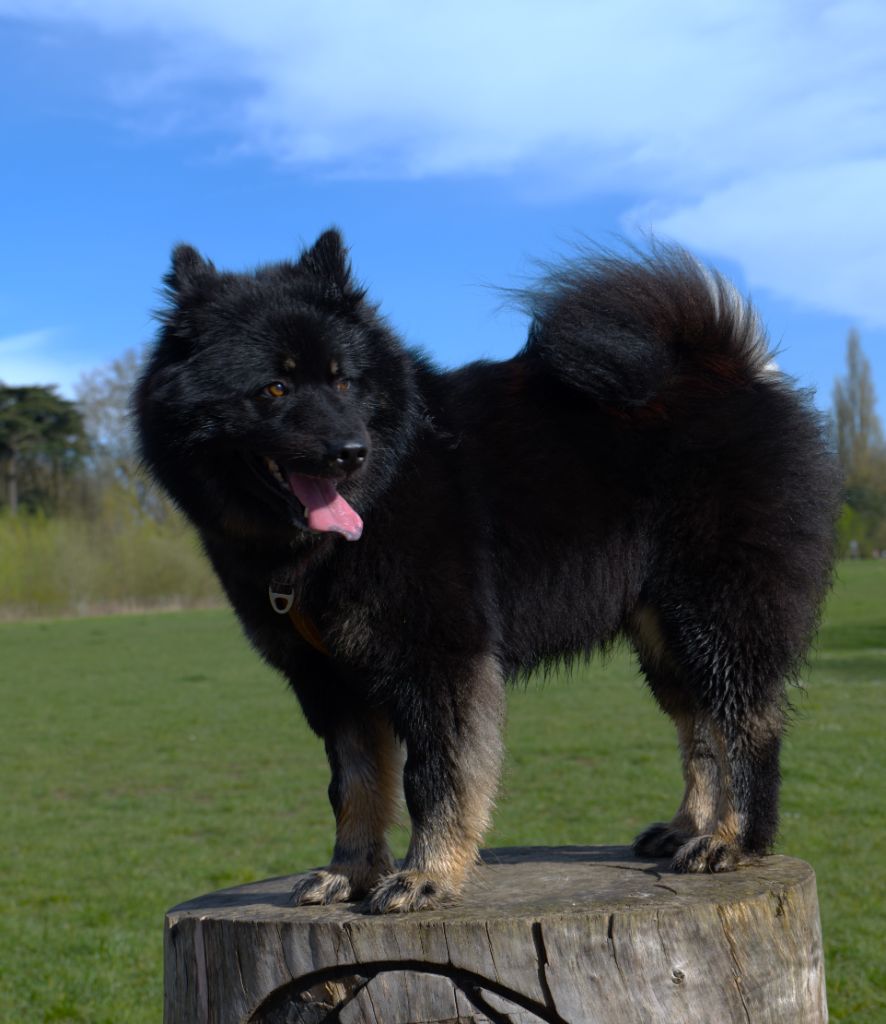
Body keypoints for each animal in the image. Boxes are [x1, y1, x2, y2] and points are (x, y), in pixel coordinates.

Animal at [135, 230, 839, 913]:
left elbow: (435, 778)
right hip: (664, 634)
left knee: (747, 728)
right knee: (700, 727)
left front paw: (427, 875)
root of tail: (737, 370)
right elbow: (354, 786)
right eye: (275, 389)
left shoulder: (439, 660)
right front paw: (350, 871)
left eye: (343, 383)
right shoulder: (330, 683)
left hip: (716, 616)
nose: (348, 451)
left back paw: (733, 840)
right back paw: (688, 827)